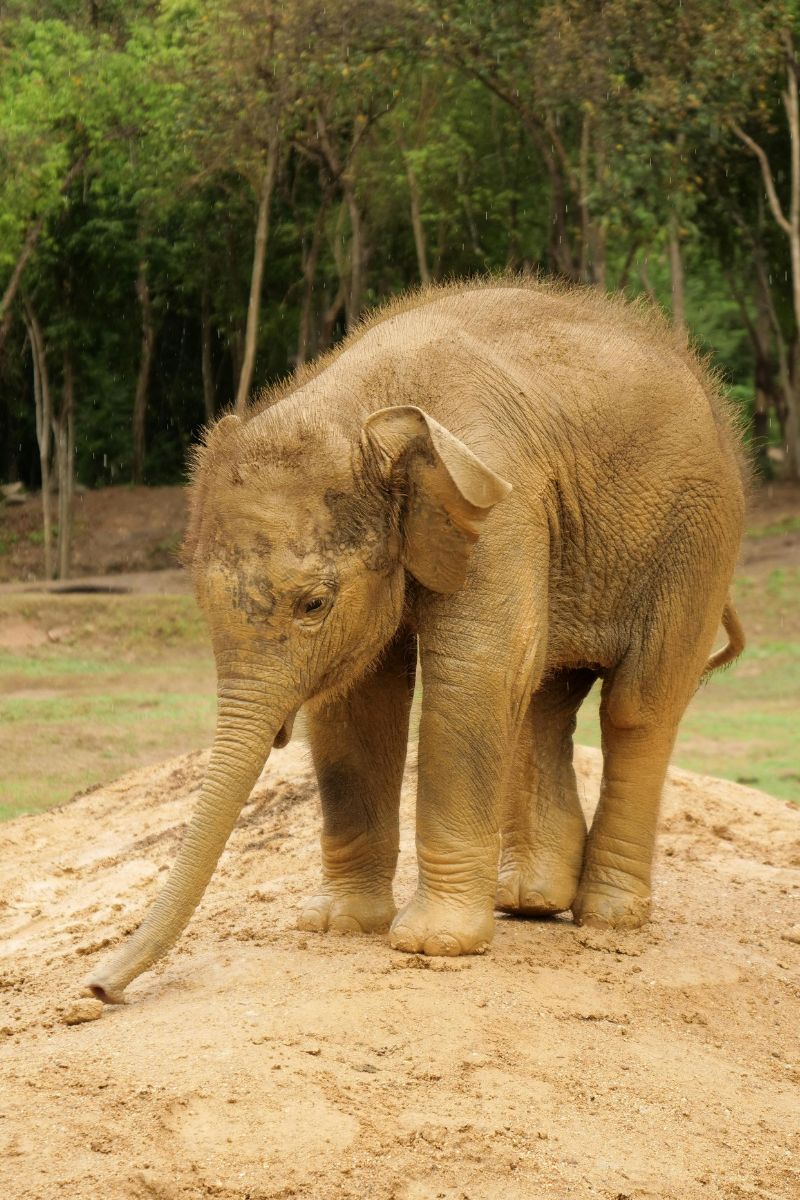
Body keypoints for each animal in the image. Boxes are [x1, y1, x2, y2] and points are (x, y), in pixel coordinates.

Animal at [86, 280, 746, 1004]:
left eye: (314, 604)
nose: (96, 991)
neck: (362, 406)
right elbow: (358, 701)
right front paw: (338, 926)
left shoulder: (499, 507)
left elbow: (473, 672)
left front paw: (434, 945)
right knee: (543, 696)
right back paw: (529, 901)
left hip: (699, 538)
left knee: (635, 707)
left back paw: (608, 917)